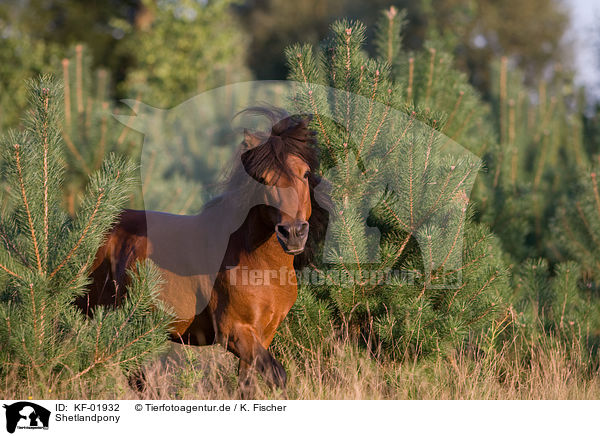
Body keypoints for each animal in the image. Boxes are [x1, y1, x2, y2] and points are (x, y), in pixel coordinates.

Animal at [75, 108, 330, 396]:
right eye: (262, 180)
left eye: (306, 174)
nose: (293, 232)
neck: (257, 263)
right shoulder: (234, 332)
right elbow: (278, 375)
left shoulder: (263, 335)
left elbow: (248, 385)